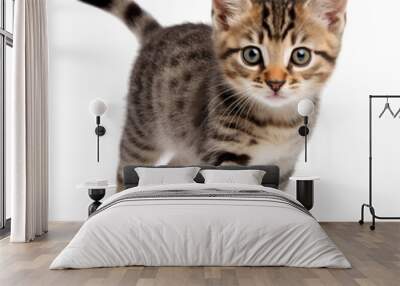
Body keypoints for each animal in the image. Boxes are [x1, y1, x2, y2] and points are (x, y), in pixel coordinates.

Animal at [79, 1, 346, 191]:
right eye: (251, 55)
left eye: (301, 56)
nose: (275, 83)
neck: (276, 122)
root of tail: (160, 32)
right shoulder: (223, 154)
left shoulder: (284, 162)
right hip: (142, 131)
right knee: (126, 169)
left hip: (188, 143)